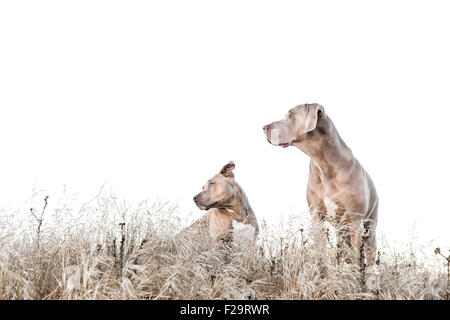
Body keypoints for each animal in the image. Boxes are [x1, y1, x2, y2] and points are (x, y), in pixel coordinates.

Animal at [262, 104, 378, 264]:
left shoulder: (355, 221)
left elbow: (357, 257)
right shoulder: (317, 218)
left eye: (291, 115)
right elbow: (320, 250)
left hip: (369, 227)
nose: (264, 127)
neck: (324, 163)